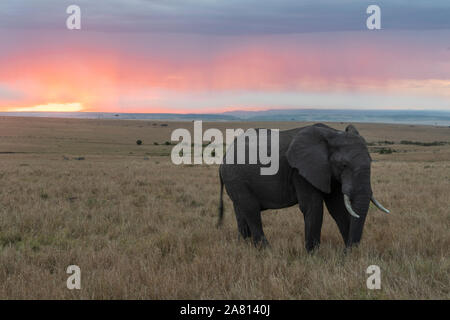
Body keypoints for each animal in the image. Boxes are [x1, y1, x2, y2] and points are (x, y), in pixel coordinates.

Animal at [216, 124, 388, 251]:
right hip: (236, 178)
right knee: (251, 210)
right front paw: (314, 255)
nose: (347, 251)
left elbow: (337, 207)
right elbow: (313, 206)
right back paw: (267, 251)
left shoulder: (327, 172)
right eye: (343, 165)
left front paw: (350, 254)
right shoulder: (300, 171)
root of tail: (224, 158)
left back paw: (243, 247)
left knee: (241, 211)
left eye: (371, 161)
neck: (332, 134)